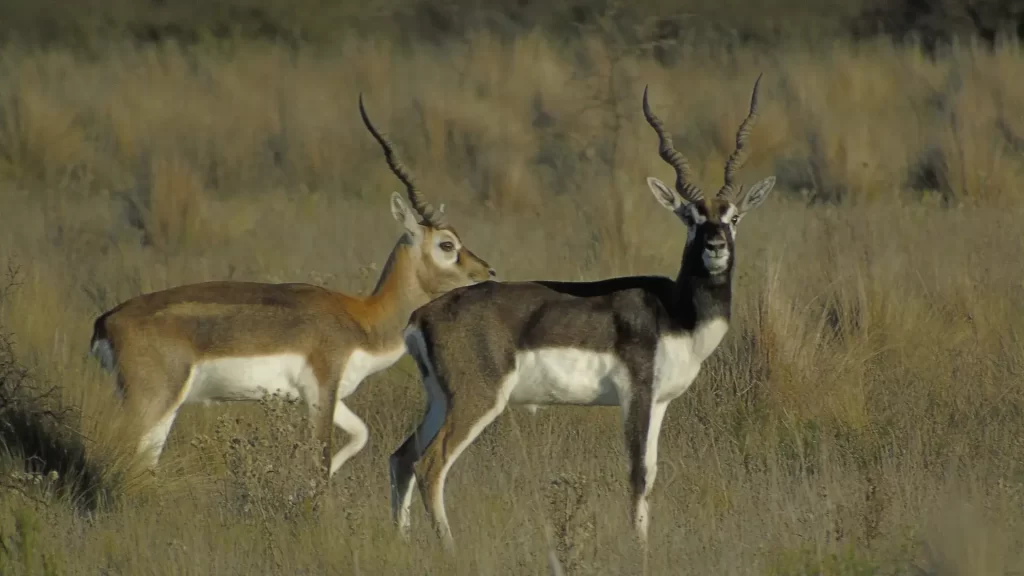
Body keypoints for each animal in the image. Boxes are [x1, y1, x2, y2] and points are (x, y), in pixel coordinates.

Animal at [90, 94, 497, 475]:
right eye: (447, 244)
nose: (488, 272)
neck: (362, 319)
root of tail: (106, 322)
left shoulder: (331, 397)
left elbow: (360, 435)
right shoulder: (320, 392)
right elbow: (320, 460)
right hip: (153, 403)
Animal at [389, 73, 774, 549]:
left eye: (733, 217)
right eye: (690, 217)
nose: (715, 246)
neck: (676, 313)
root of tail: (423, 316)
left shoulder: (661, 402)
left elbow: (652, 473)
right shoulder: (636, 396)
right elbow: (637, 474)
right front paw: (639, 550)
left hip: (440, 400)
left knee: (401, 458)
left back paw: (403, 540)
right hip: (476, 400)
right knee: (430, 466)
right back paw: (450, 548)